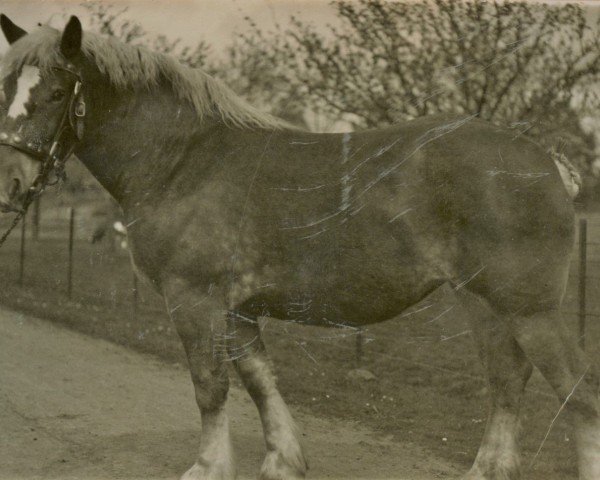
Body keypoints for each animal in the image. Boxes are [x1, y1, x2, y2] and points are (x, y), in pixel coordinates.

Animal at [0, 15, 592, 480]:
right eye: (5, 87)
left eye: (57, 93)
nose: (10, 184)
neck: (183, 159)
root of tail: (545, 158)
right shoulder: (237, 310)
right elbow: (259, 380)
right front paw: (283, 460)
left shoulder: (194, 301)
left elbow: (210, 386)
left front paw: (208, 466)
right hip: (484, 303)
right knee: (507, 382)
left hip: (530, 310)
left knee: (578, 392)